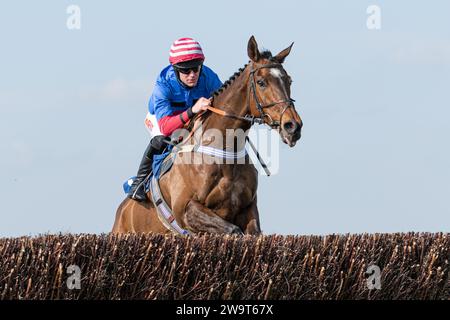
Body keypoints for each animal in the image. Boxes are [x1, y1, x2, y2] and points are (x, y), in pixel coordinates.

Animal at [112, 36, 302, 235]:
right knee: (156, 142)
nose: (293, 126)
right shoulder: (186, 209)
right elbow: (233, 230)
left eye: (289, 81)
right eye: (261, 82)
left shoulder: (248, 208)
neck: (225, 150)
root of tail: (122, 211)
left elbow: (252, 233)